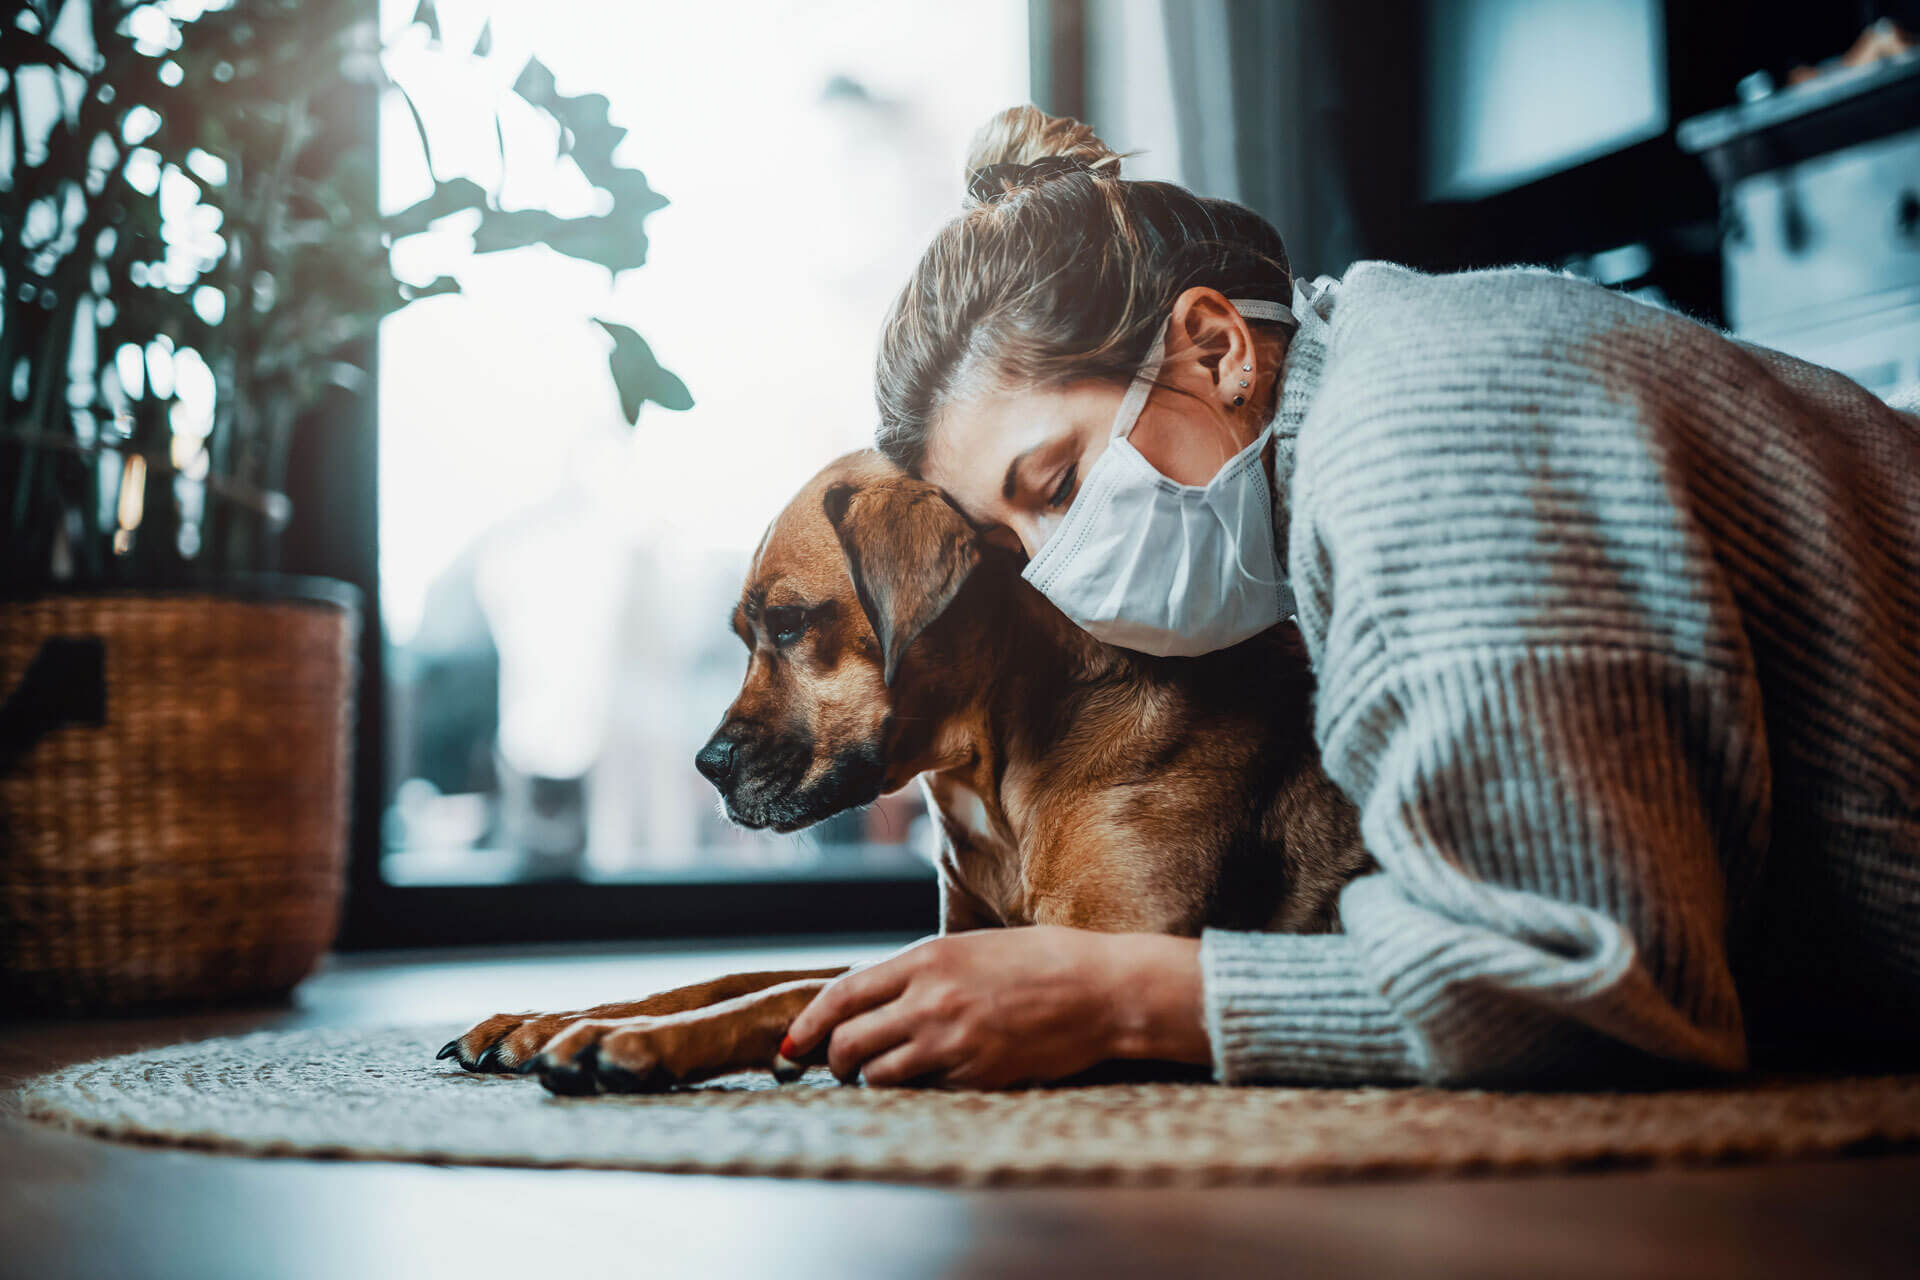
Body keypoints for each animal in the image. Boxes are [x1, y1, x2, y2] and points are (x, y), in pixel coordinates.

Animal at [439, 449, 1367, 1090]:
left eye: (788, 623)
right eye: (744, 635)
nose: (705, 766)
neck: (999, 771)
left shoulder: (1105, 959)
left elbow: (790, 991)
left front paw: (625, 1041)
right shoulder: (967, 941)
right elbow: (744, 974)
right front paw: (545, 1018)